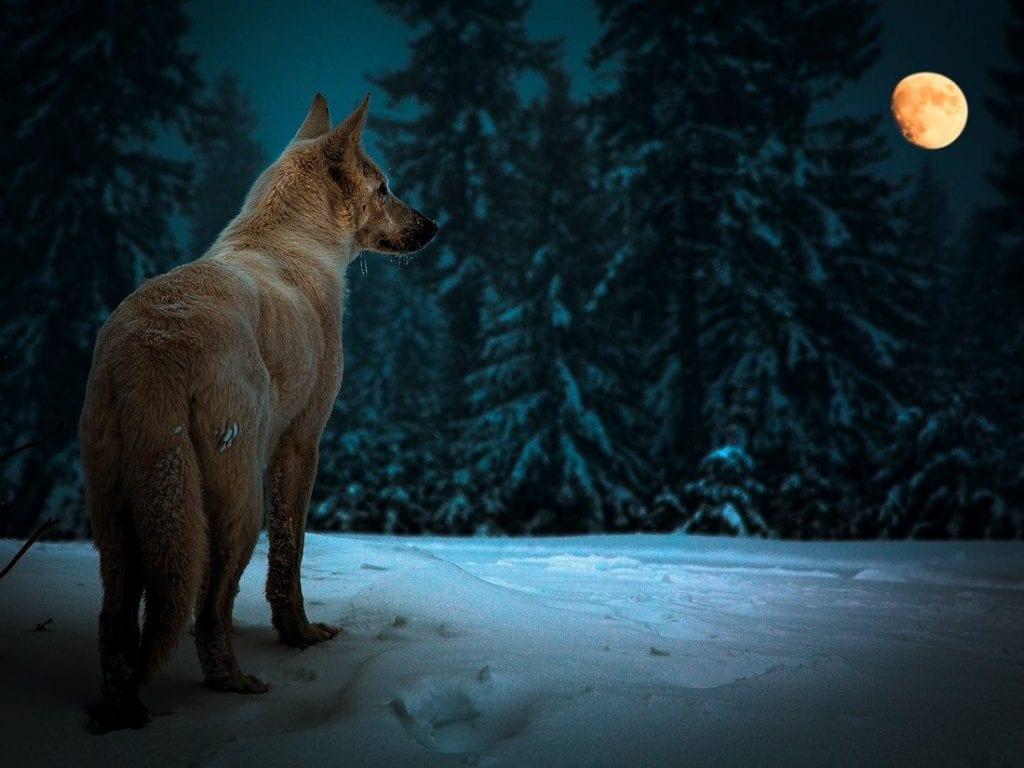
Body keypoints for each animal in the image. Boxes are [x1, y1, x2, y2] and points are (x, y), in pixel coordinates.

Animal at [79, 93, 437, 732]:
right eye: (386, 186)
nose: (434, 226)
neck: (289, 241)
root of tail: (151, 349)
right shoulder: (301, 444)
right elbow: (289, 558)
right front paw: (300, 636)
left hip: (119, 514)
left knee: (119, 623)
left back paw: (123, 710)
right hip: (235, 501)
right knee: (209, 609)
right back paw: (233, 683)